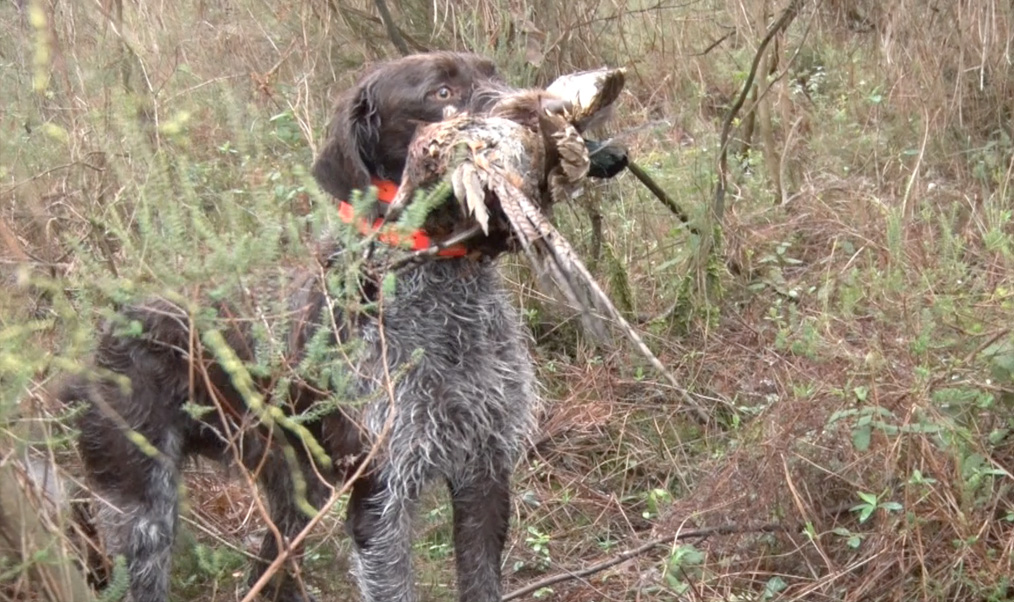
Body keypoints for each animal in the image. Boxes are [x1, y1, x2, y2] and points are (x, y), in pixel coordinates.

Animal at [63, 51, 539, 599]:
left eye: (493, 73)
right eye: (441, 93)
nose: (535, 113)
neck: (444, 302)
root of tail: (105, 332)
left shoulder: (485, 471)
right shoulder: (381, 497)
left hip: (293, 490)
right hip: (141, 515)